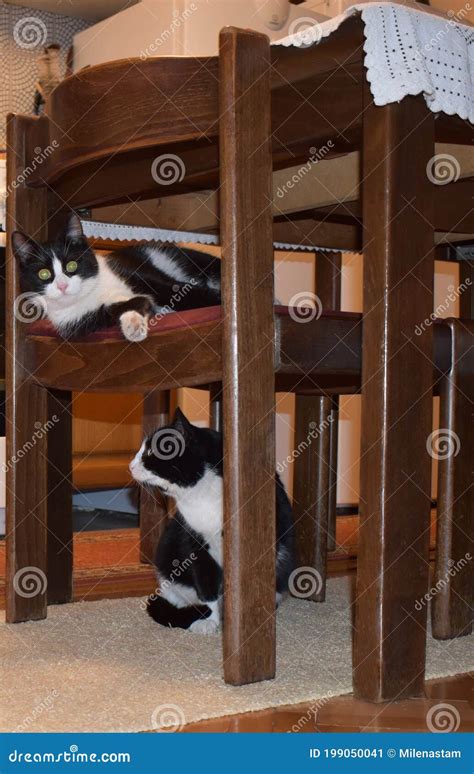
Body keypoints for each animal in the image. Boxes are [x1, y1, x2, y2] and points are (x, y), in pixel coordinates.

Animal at [11, 215, 220, 342]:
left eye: (71, 265)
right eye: (43, 274)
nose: (62, 286)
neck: (90, 294)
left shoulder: (133, 273)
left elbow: (173, 290)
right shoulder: (82, 321)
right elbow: (126, 306)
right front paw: (133, 323)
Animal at [128, 410, 294, 632]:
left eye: (150, 451)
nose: (130, 466)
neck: (202, 496)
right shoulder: (194, 543)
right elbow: (206, 586)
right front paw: (209, 621)